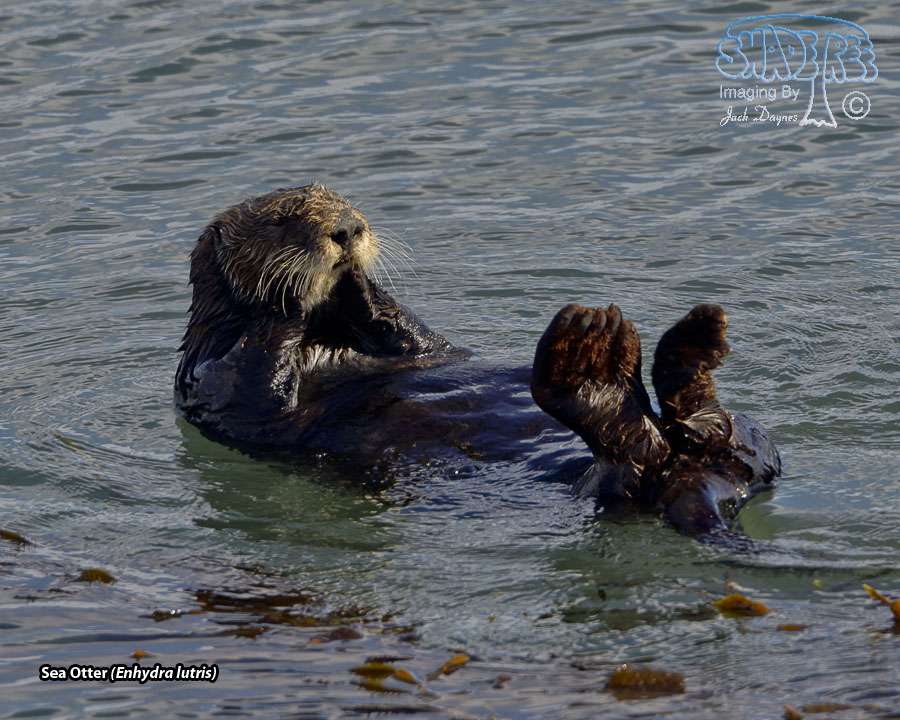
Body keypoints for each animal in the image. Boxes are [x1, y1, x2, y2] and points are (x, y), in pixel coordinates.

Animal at [175, 184, 781, 535]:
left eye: (344, 202)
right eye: (281, 220)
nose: (347, 228)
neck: (324, 343)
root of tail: (694, 476)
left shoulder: (417, 344)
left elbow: (413, 337)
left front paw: (359, 284)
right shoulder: (212, 378)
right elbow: (258, 379)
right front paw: (296, 294)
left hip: (754, 441)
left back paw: (677, 346)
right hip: (618, 485)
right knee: (622, 466)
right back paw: (591, 364)